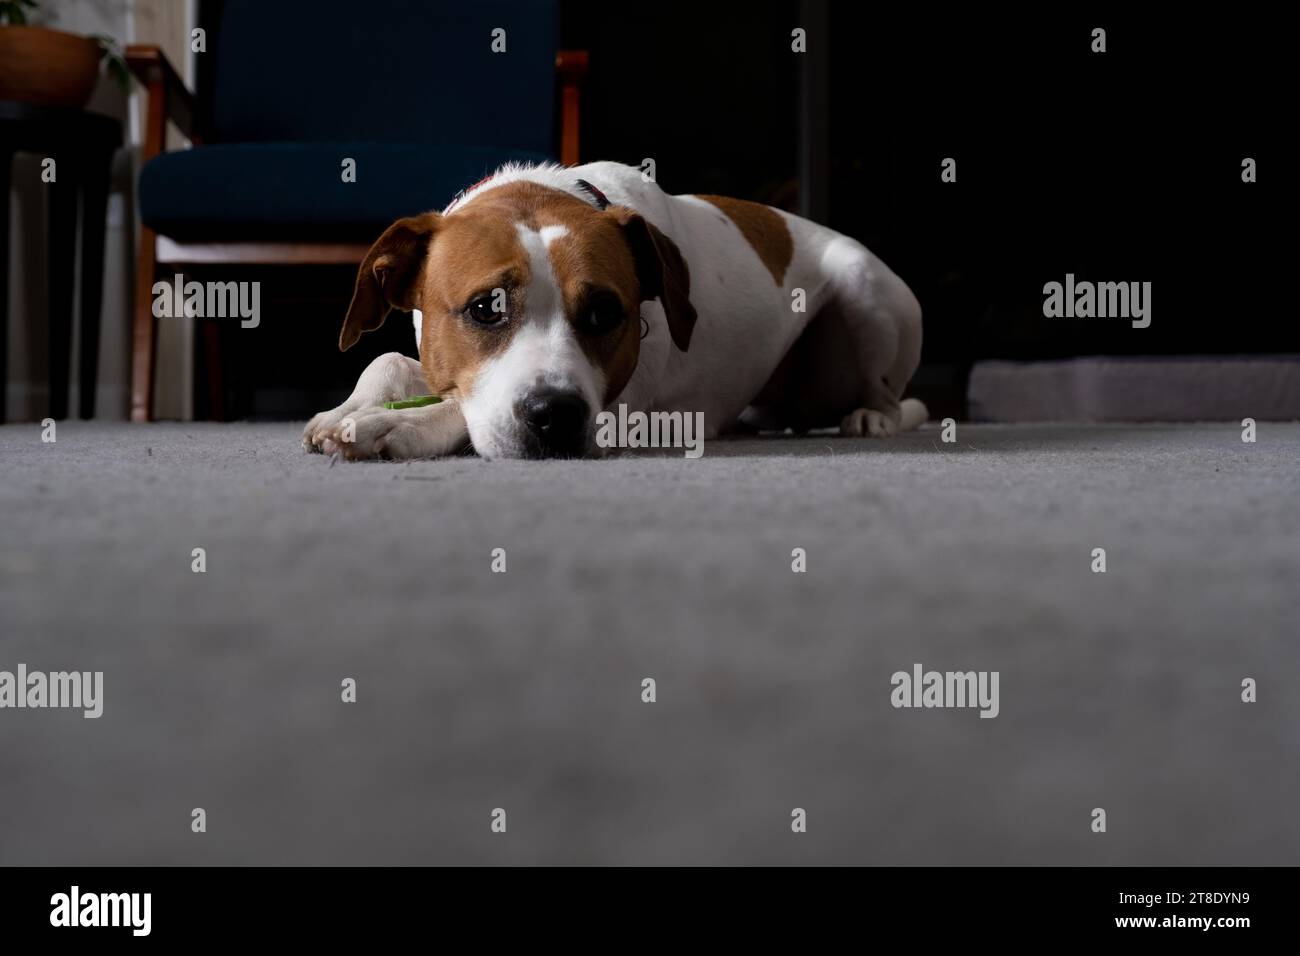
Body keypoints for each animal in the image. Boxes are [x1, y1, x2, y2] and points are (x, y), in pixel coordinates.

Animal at [301, 162, 925, 463]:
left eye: (605, 314)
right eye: (485, 309)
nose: (555, 415)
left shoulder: (623, 404)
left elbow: (460, 409)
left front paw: (392, 425)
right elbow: (388, 361)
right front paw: (349, 408)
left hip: (865, 288)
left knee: (893, 398)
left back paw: (872, 418)